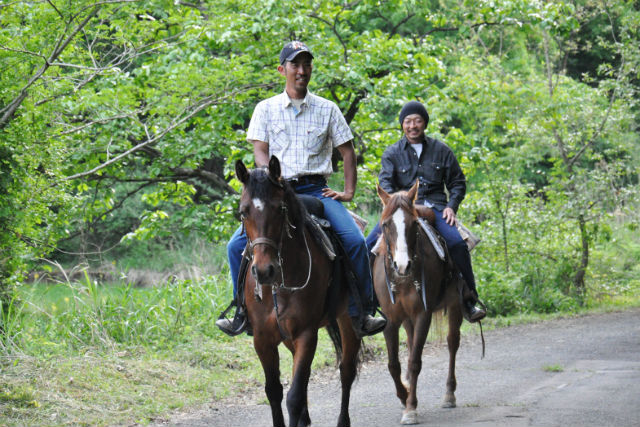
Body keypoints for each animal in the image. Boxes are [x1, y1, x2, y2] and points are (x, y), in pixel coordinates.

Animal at [234, 155, 362, 427]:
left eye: (279, 208)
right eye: (243, 211)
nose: (264, 271)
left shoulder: (306, 333)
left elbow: (294, 396)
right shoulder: (262, 338)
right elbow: (274, 391)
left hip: (348, 320)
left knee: (346, 371)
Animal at [372, 181, 464, 425]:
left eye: (414, 224)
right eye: (385, 225)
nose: (402, 265)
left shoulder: (424, 314)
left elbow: (415, 361)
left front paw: (411, 408)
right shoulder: (392, 319)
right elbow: (393, 364)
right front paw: (404, 396)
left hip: (455, 305)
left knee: (452, 343)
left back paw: (449, 394)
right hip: (407, 319)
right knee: (412, 342)